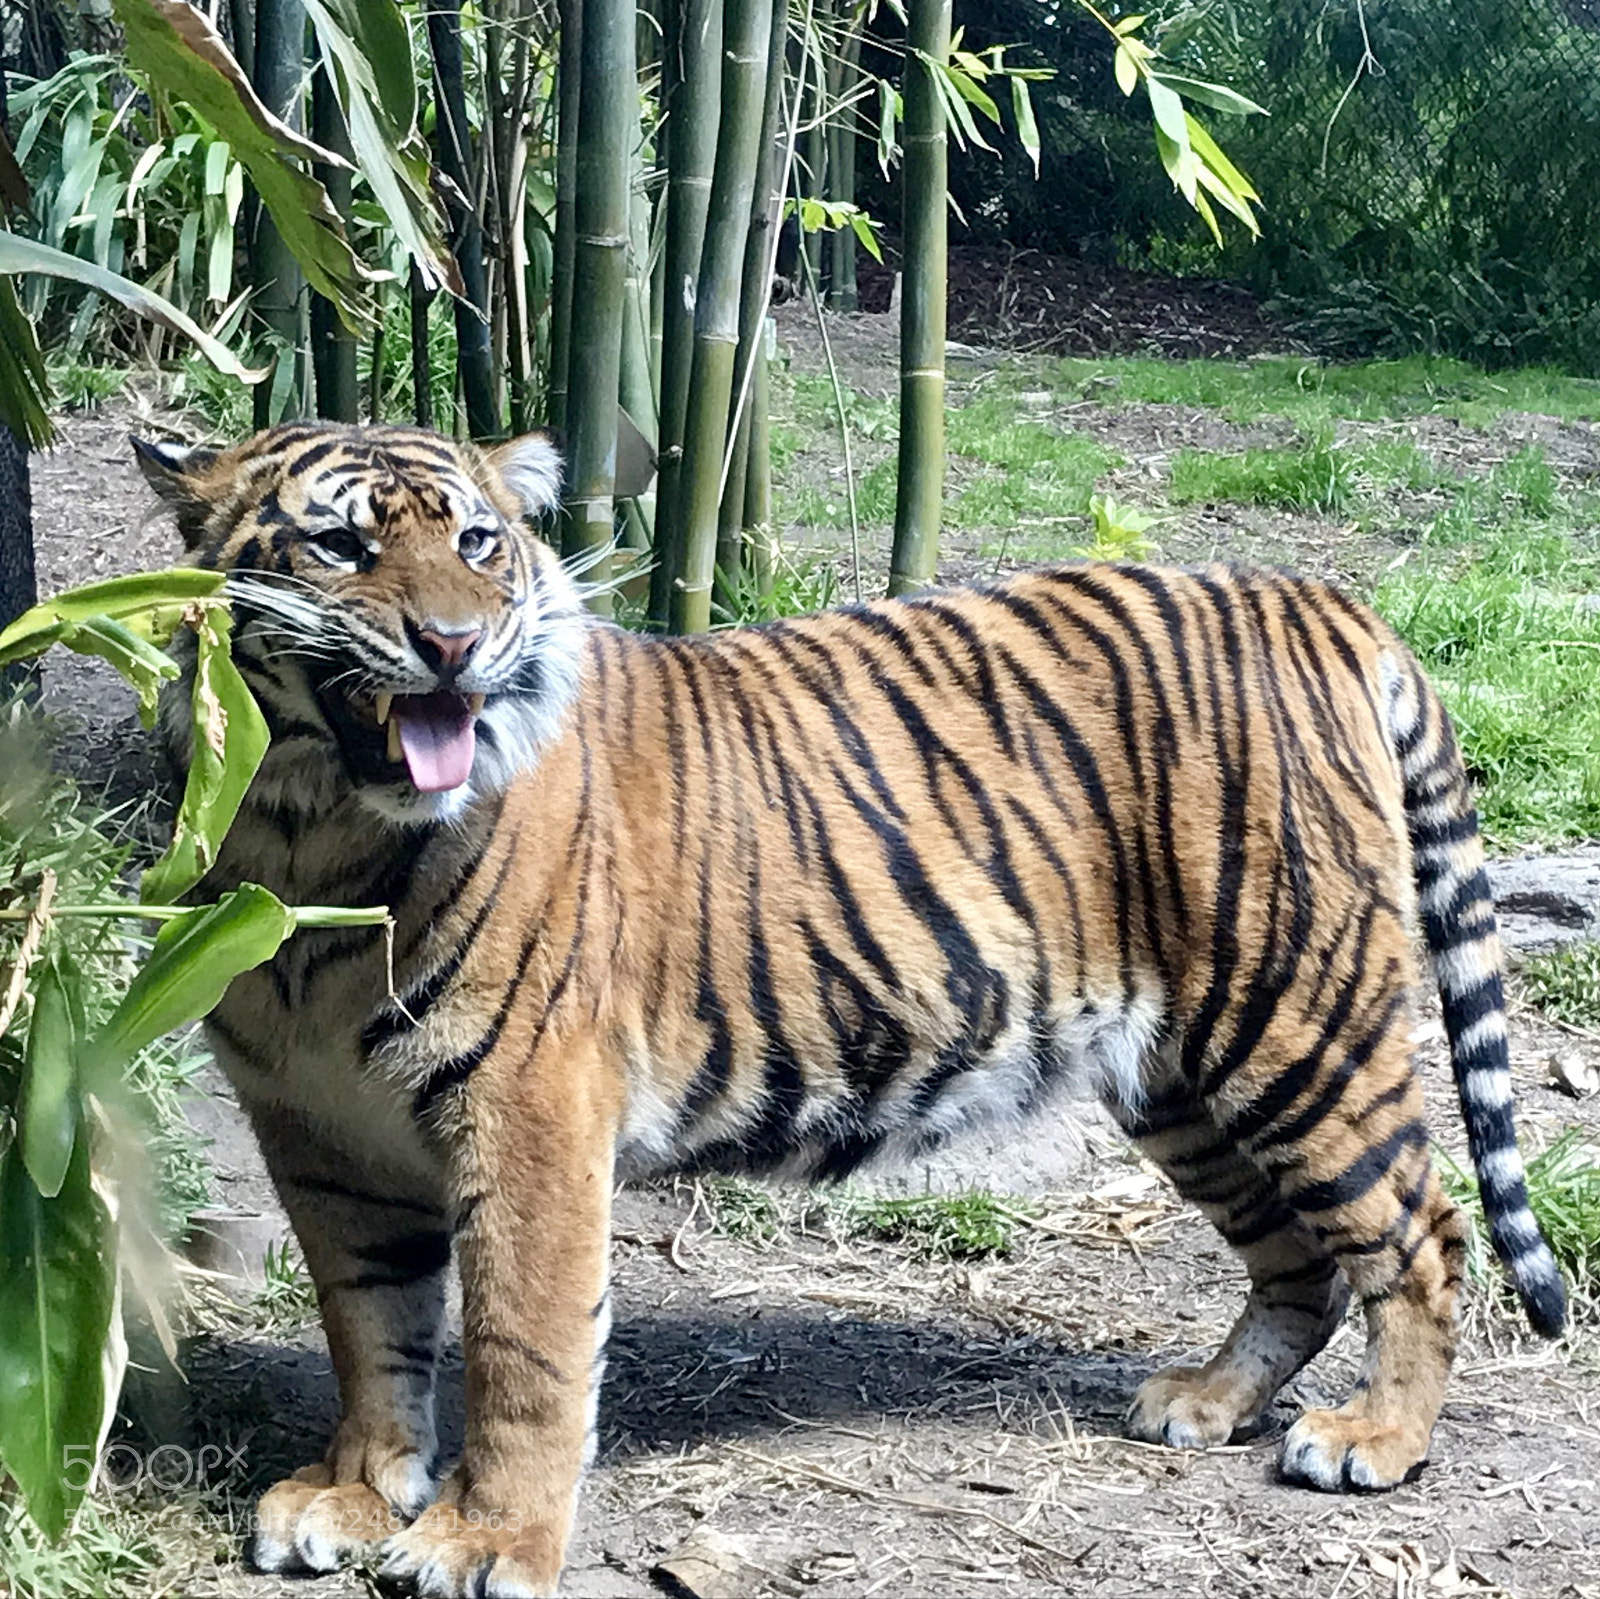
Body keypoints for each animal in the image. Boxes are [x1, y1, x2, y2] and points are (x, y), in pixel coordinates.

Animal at [133, 421, 1566, 1599]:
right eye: (341, 545)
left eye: (480, 544)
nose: (453, 644)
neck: (310, 839)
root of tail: (1308, 595)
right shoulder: (319, 1134)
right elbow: (369, 1326)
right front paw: (355, 1495)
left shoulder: (529, 1113)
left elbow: (521, 1347)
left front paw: (486, 1543)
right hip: (1184, 1074)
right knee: (1298, 1255)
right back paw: (1206, 1401)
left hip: (1293, 1018)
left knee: (1422, 1228)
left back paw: (1374, 1440)